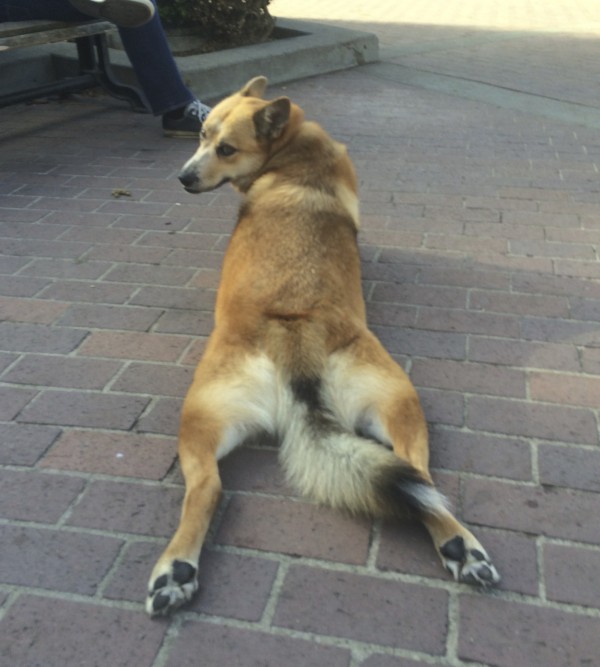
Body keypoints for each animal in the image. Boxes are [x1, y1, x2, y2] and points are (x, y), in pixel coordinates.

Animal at [146, 77, 502, 616]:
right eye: (202, 134)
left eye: (225, 149)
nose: (183, 178)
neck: (292, 154)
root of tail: (295, 333)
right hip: (396, 402)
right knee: (420, 480)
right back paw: (461, 546)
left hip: (198, 415)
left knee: (207, 489)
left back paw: (175, 570)